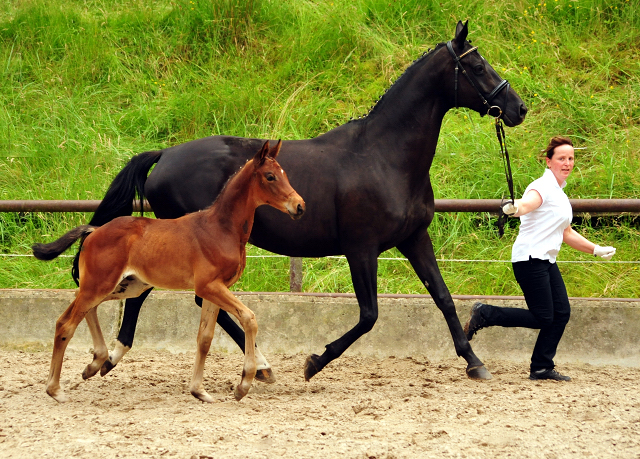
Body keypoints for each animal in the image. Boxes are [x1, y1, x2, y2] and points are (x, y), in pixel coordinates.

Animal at [33, 140, 304, 402]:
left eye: (284, 174)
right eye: (270, 176)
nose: (299, 206)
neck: (221, 229)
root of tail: (93, 231)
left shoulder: (214, 290)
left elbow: (205, 339)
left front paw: (199, 391)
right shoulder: (209, 286)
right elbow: (249, 318)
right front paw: (244, 384)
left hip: (123, 286)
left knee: (81, 310)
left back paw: (96, 362)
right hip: (100, 284)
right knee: (66, 324)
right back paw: (55, 390)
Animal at [84, 19, 524, 382]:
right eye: (478, 66)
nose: (518, 108)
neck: (383, 156)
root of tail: (164, 155)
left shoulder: (414, 238)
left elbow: (444, 299)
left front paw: (475, 363)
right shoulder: (361, 248)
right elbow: (369, 315)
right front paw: (314, 362)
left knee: (154, 294)